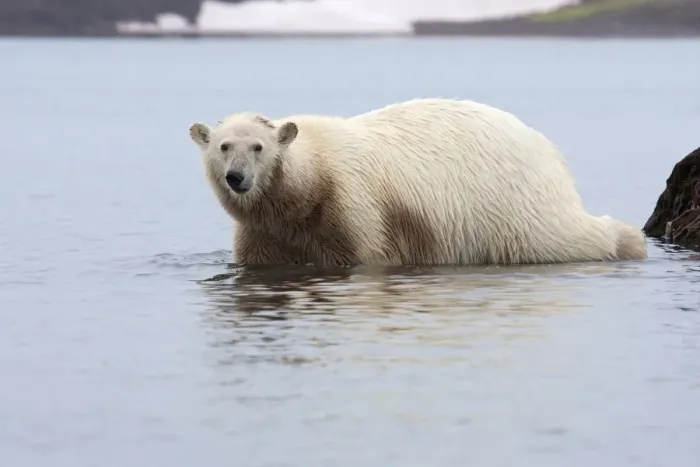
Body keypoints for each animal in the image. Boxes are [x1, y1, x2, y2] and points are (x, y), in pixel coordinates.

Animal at [188, 98, 647, 266]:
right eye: (224, 146)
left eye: (258, 146)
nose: (237, 178)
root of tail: (546, 147)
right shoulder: (267, 230)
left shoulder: (355, 206)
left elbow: (367, 254)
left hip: (513, 202)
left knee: (558, 235)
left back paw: (627, 240)